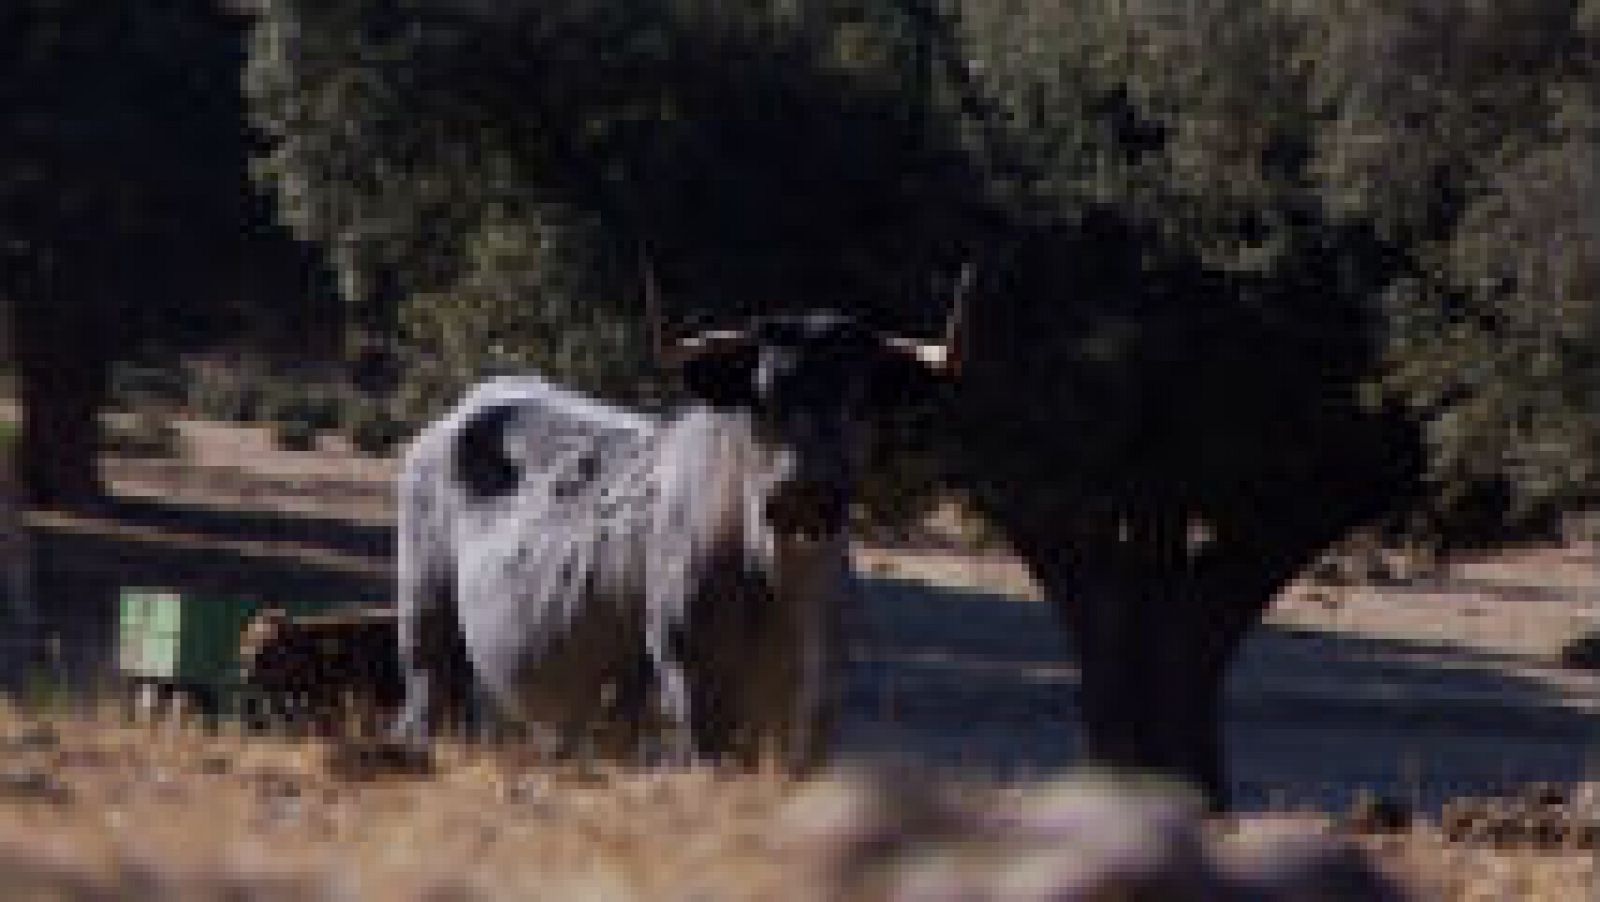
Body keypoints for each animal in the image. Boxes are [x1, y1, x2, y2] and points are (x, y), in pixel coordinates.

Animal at [391, 269, 970, 769]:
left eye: (860, 400)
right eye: (759, 397)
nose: (805, 491)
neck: (777, 586)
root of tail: (472, 404)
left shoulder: (816, 714)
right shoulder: (691, 689)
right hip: (427, 635)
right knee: (430, 701)